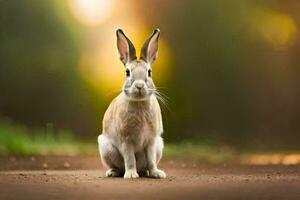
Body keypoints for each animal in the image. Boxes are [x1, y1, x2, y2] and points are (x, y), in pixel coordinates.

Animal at [98, 27, 166, 178]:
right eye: (127, 72)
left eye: (149, 72)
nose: (139, 86)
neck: (139, 102)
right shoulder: (126, 140)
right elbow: (130, 159)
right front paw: (130, 175)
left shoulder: (151, 141)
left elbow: (151, 160)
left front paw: (157, 174)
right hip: (106, 149)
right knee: (119, 166)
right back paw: (113, 172)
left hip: (159, 145)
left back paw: (145, 172)